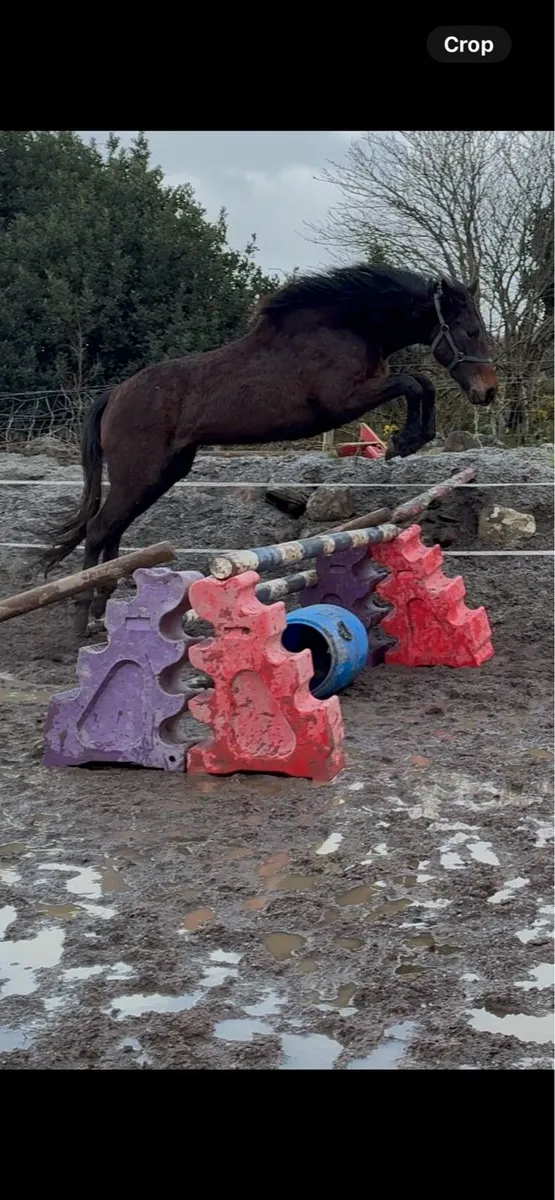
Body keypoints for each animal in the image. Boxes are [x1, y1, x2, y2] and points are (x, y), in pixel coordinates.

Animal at [42, 262, 497, 635]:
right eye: (471, 331)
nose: (488, 393)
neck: (347, 328)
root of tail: (115, 394)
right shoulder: (347, 399)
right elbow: (415, 383)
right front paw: (404, 442)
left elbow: (420, 385)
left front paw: (410, 440)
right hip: (139, 474)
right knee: (100, 528)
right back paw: (82, 617)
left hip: (160, 475)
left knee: (113, 530)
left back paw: (101, 610)